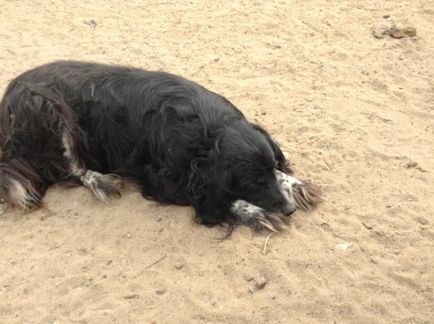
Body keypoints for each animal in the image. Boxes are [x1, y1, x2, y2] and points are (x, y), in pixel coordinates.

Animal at [0, 60, 318, 232]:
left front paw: (293, 183)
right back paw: (99, 180)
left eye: (270, 170)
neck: (206, 130)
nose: (289, 210)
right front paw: (254, 211)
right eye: (252, 182)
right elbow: (214, 198)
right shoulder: (162, 179)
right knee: (68, 169)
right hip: (48, 107)